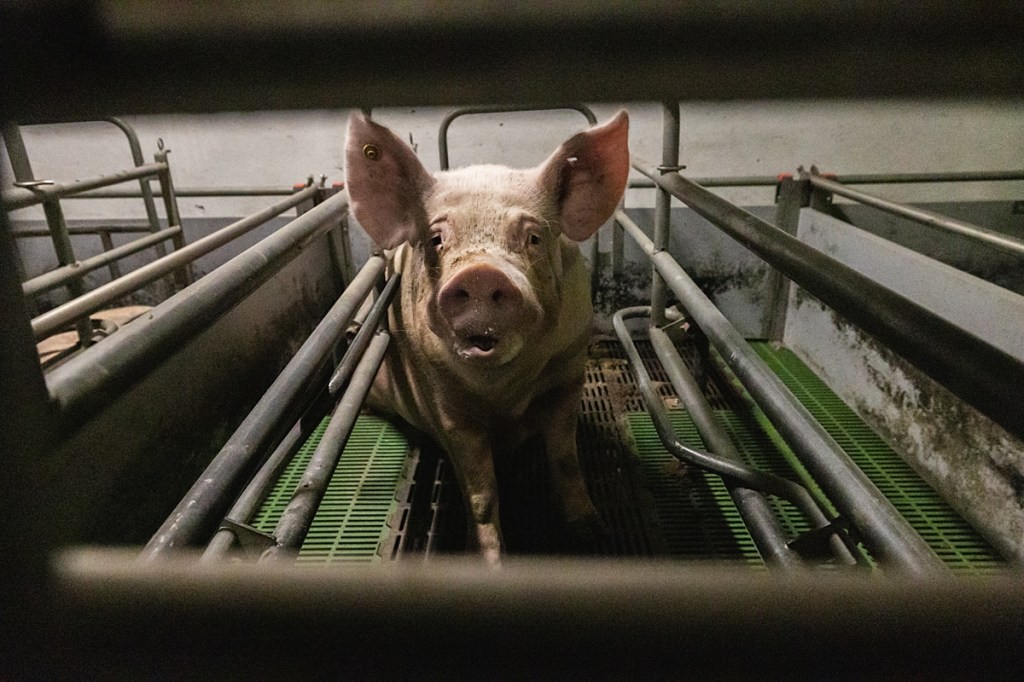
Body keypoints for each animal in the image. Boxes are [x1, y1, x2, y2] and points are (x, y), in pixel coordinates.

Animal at [345, 110, 629, 563]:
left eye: (533, 237)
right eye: (436, 240)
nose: (480, 274)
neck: (502, 393)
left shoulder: (569, 372)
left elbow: (566, 461)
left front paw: (595, 535)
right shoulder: (446, 407)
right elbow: (481, 495)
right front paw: (491, 562)